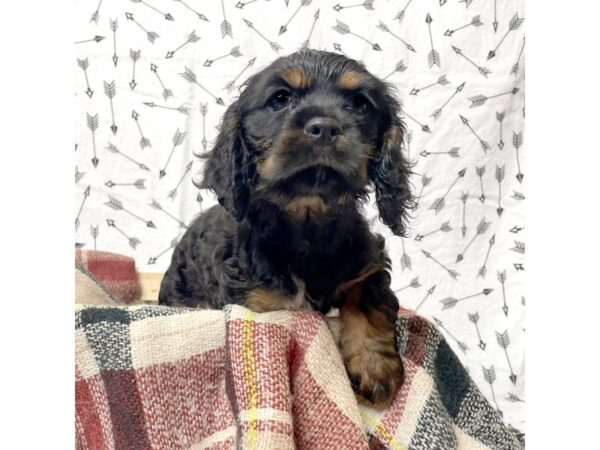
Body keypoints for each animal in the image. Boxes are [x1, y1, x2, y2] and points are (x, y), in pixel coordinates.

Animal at [157, 50, 414, 408]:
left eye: (360, 104)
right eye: (280, 99)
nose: (324, 127)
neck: (307, 220)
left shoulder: (369, 264)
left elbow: (369, 299)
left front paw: (374, 368)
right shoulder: (259, 301)